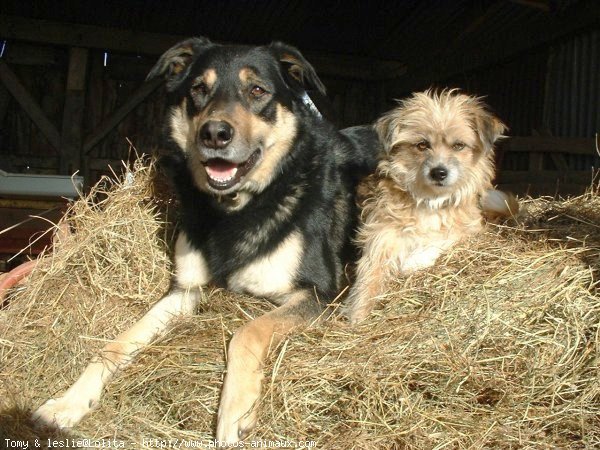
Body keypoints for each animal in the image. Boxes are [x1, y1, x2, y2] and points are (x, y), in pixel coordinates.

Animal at [32, 36, 378, 442]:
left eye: (257, 90)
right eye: (199, 89)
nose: (214, 134)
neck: (237, 208)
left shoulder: (320, 294)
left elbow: (246, 331)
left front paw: (235, 412)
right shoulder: (184, 291)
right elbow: (116, 343)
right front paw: (68, 402)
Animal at [344, 88, 516, 322]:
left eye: (459, 145)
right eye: (422, 145)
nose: (439, 172)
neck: (431, 202)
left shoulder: (470, 231)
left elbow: (443, 240)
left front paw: (414, 260)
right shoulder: (381, 240)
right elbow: (368, 281)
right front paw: (357, 315)